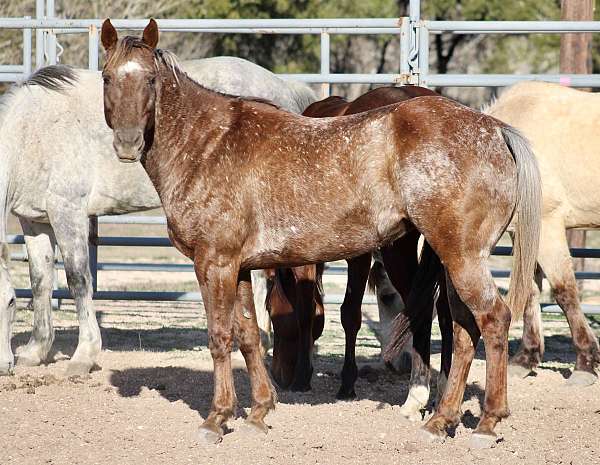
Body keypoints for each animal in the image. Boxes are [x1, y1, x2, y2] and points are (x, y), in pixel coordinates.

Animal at [0, 56, 316, 376]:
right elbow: (40, 280)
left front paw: (83, 356)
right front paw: (36, 351)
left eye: (11, 302)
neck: (32, 132)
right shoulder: (35, 220)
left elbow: (78, 280)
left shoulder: (68, 211)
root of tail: (283, 86)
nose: (4, 366)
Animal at [488, 81, 600, 386]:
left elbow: (564, 292)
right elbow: (530, 290)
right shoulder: (524, 233)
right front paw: (525, 359)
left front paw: (585, 364)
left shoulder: (547, 225)